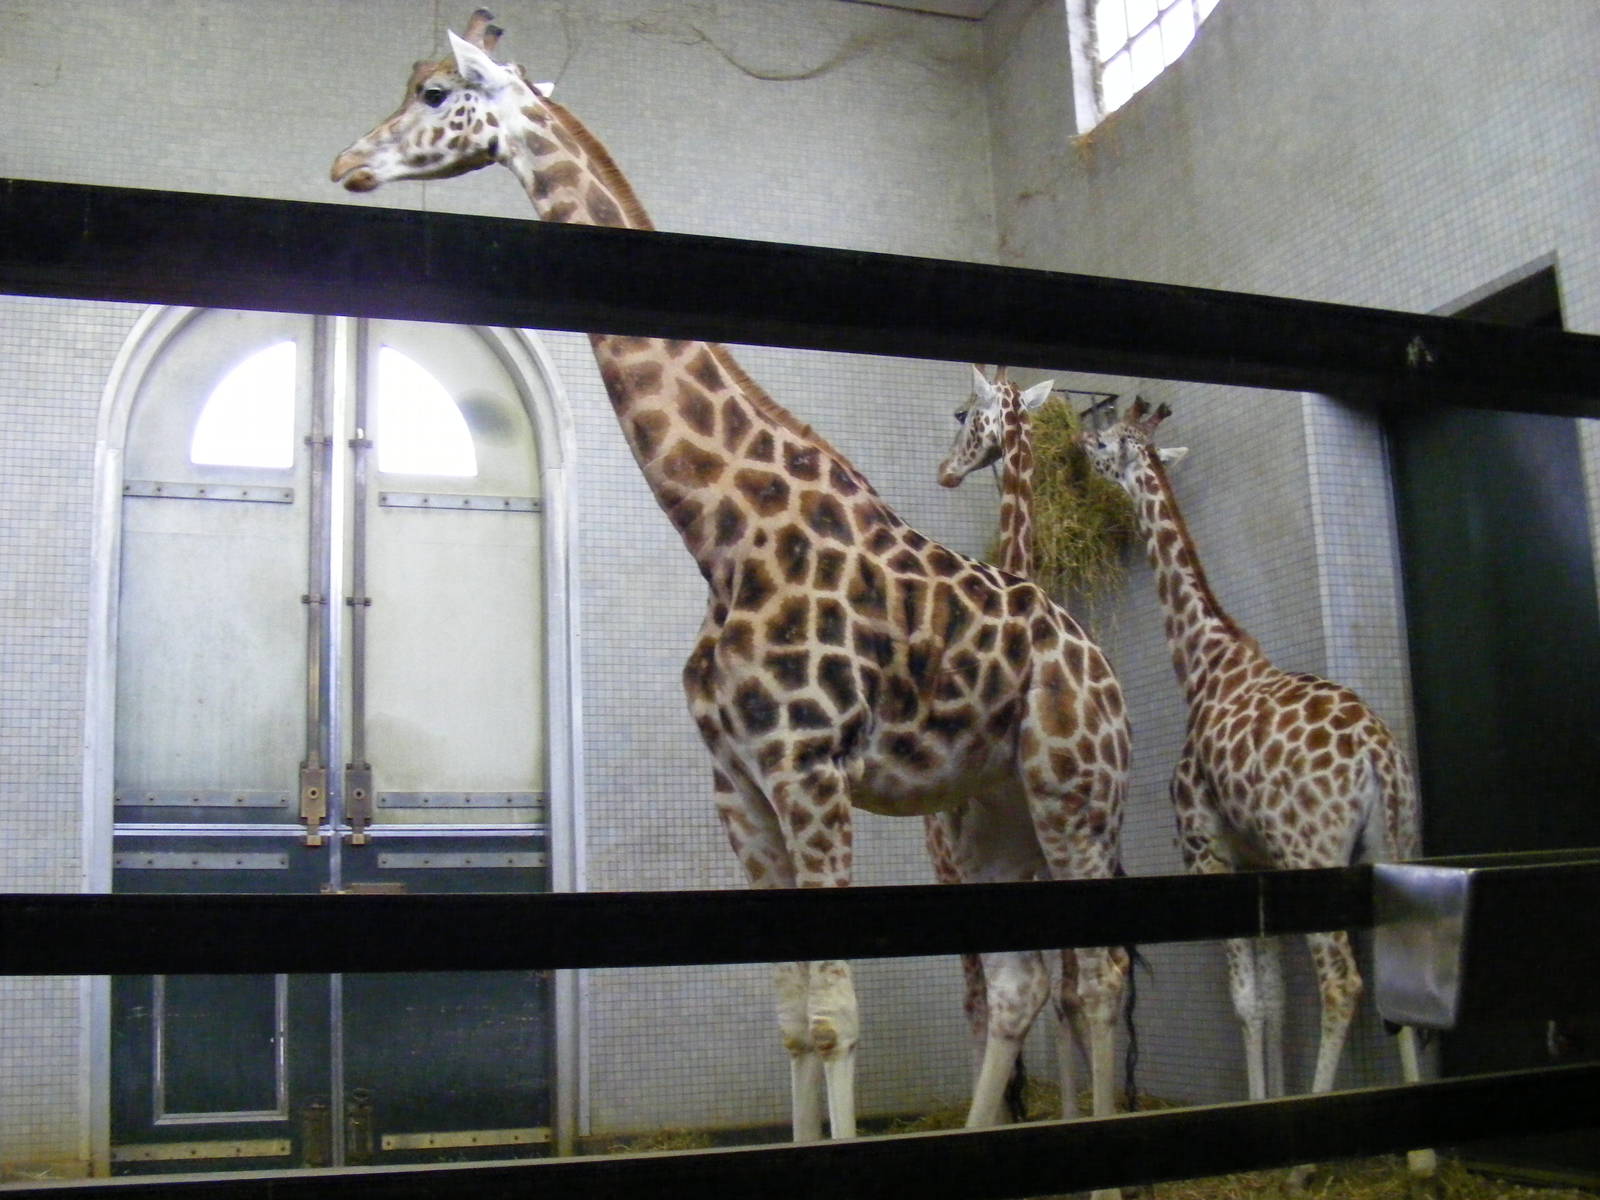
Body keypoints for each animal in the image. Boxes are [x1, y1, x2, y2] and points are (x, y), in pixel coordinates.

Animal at [332, 14, 1130, 1166]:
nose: (346, 163)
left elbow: (839, 1013)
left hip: (1075, 793)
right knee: (1027, 983)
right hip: (992, 811)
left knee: (1097, 977)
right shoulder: (739, 788)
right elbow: (794, 1017)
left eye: (436, 91)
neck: (722, 534)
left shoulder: (810, 772)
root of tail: (1102, 664)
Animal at [1077, 399, 1435, 1180]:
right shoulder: (1257, 859)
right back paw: (1421, 1156)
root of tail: (1377, 760)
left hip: (1316, 851)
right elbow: (1270, 998)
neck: (1206, 664)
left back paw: (1306, 1165)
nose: (1082, 444)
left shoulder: (1207, 847)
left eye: (1110, 442)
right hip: (1391, 846)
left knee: (1342, 981)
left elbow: (1248, 999)